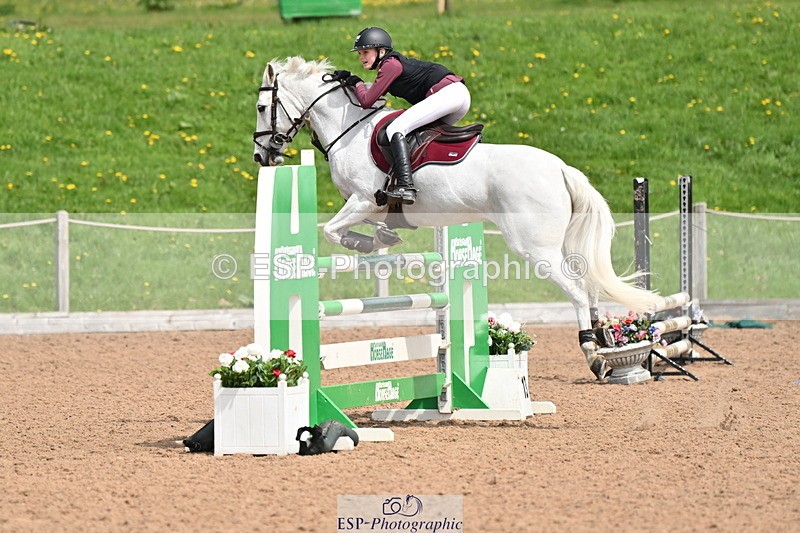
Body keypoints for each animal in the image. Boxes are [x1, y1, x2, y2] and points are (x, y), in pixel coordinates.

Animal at [252, 57, 663, 380]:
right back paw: (605, 342)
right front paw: (385, 238)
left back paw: (592, 353)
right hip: (556, 244)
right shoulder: (371, 206)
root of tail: (561, 168)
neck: (348, 128)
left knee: (576, 291)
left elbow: (333, 231)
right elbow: (370, 226)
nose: (262, 156)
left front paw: (366, 244)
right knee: (589, 285)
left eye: (260, 107)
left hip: (535, 248)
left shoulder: (363, 199)